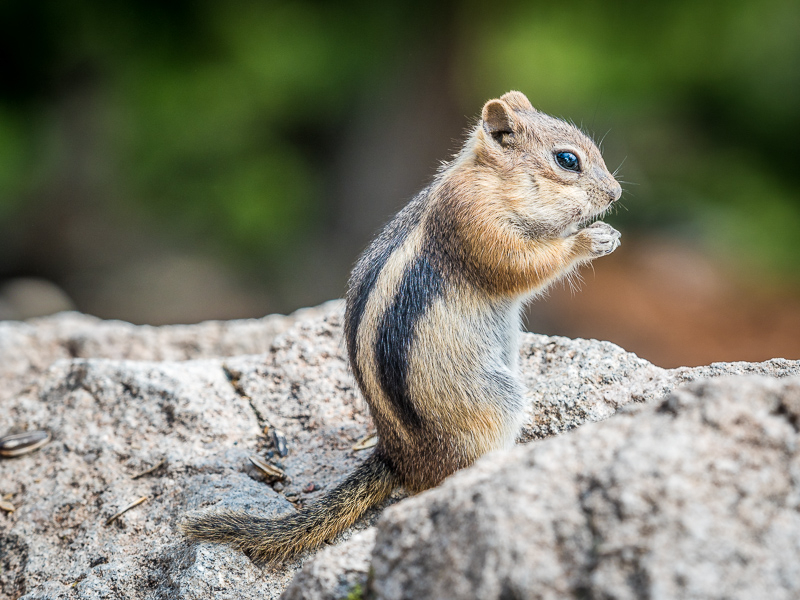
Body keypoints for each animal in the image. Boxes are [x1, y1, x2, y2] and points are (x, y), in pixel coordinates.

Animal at [183, 89, 624, 564]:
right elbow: (522, 266)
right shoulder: (477, 224)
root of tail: (396, 458)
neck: (490, 182)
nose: (616, 192)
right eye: (567, 160)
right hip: (493, 403)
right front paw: (592, 239)